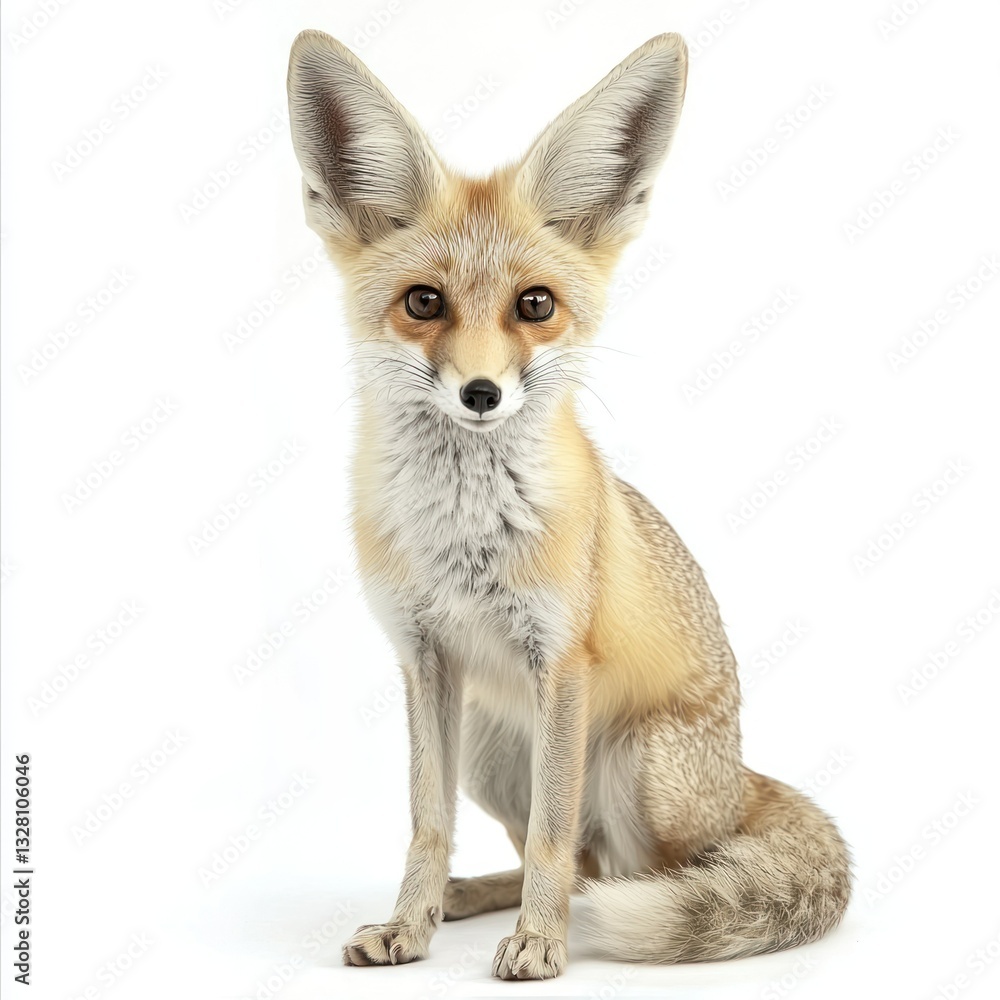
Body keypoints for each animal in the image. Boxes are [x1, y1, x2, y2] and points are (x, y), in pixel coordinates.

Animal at [286, 29, 851, 981]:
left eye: (535, 305)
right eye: (424, 301)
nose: (481, 393)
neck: (464, 535)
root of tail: (742, 776)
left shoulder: (561, 660)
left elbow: (552, 839)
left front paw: (542, 944)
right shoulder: (424, 659)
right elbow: (428, 825)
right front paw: (411, 923)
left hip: (640, 769)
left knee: (635, 869)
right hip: (487, 746)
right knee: (568, 860)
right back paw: (469, 899)